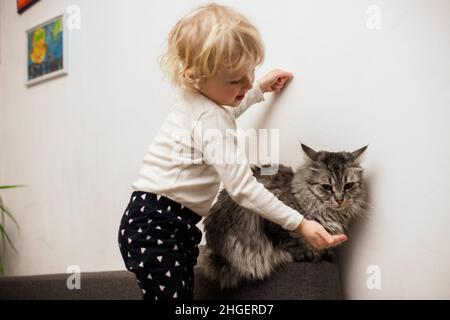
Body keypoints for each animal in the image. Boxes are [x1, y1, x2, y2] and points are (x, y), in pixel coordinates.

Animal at [200, 142, 370, 290]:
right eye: (326, 187)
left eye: (348, 185)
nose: (340, 200)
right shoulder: (271, 218)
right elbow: (290, 242)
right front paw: (308, 253)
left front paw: (325, 253)